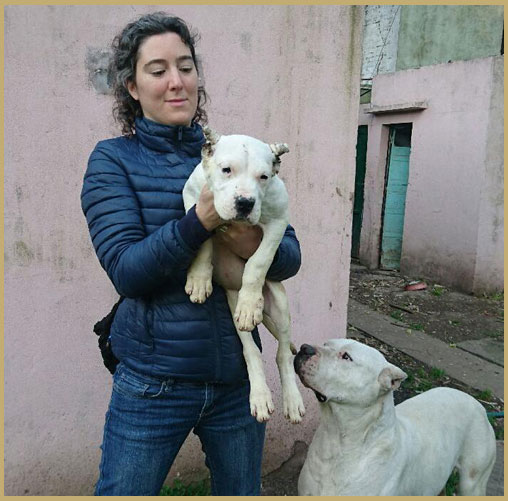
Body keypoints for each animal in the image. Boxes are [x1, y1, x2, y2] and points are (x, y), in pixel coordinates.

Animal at [182, 127, 304, 424]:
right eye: (226, 169)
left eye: (264, 177)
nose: (245, 203)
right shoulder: (193, 200)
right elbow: (202, 243)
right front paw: (199, 279)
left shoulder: (279, 221)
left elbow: (258, 263)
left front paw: (251, 301)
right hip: (233, 308)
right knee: (251, 351)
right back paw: (259, 396)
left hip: (280, 305)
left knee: (282, 355)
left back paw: (292, 400)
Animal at [294, 338, 496, 494]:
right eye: (325, 343)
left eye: (346, 357)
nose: (305, 348)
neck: (337, 439)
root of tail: (477, 403)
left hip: (473, 482)